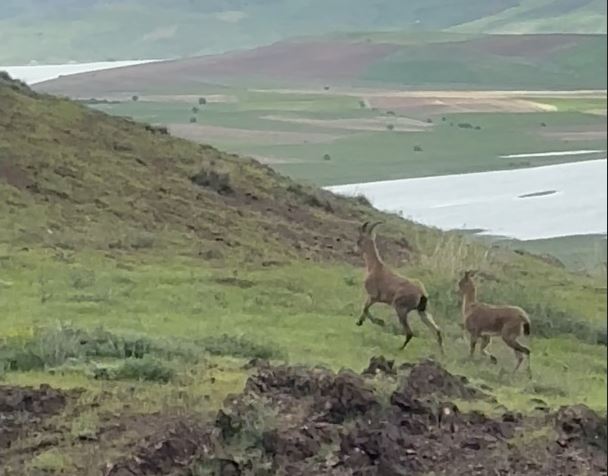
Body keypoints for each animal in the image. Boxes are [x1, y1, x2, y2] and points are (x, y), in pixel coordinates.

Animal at [355, 221, 444, 354]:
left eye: (359, 239)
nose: (355, 249)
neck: (375, 267)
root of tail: (421, 293)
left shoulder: (374, 296)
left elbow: (365, 308)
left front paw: (378, 322)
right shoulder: (373, 298)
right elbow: (365, 308)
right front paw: (361, 322)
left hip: (400, 308)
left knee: (410, 332)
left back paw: (399, 348)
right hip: (422, 311)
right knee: (437, 330)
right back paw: (442, 353)